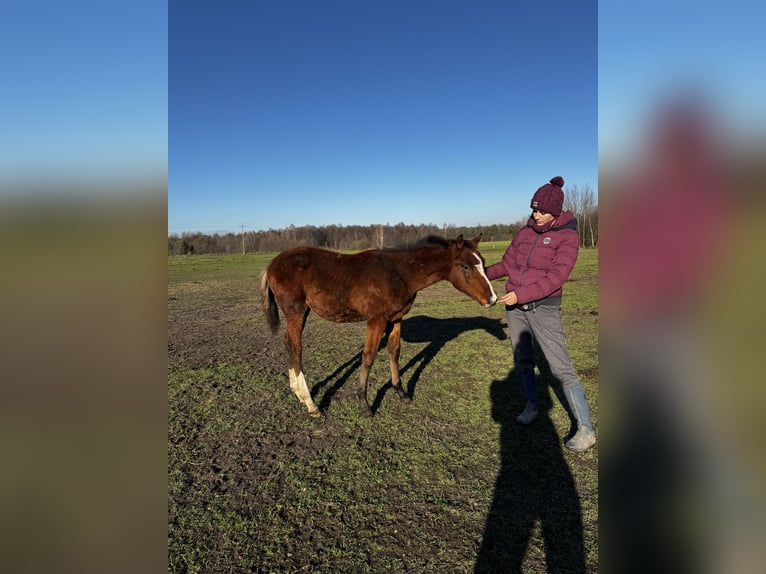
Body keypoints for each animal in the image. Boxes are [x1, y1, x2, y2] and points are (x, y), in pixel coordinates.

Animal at [260, 234, 500, 418]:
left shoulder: (395, 319)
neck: (399, 272)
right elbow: (369, 356)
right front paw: (364, 403)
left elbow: (394, 351)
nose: (493, 299)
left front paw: (401, 392)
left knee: (289, 345)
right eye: (465, 266)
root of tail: (271, 265)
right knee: (296, 347)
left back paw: (298, 394)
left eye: (483, 262)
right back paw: (311, 404)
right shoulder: (376, 319)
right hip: (296, 312)